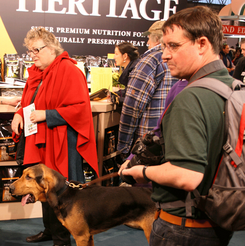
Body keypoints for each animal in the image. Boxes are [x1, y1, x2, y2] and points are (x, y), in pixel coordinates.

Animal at [9, 164, 156, 245]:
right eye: (22, 174)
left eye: (29, 177)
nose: (9, 188)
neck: (62, 193)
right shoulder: (88, 236)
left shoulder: (81, 237)